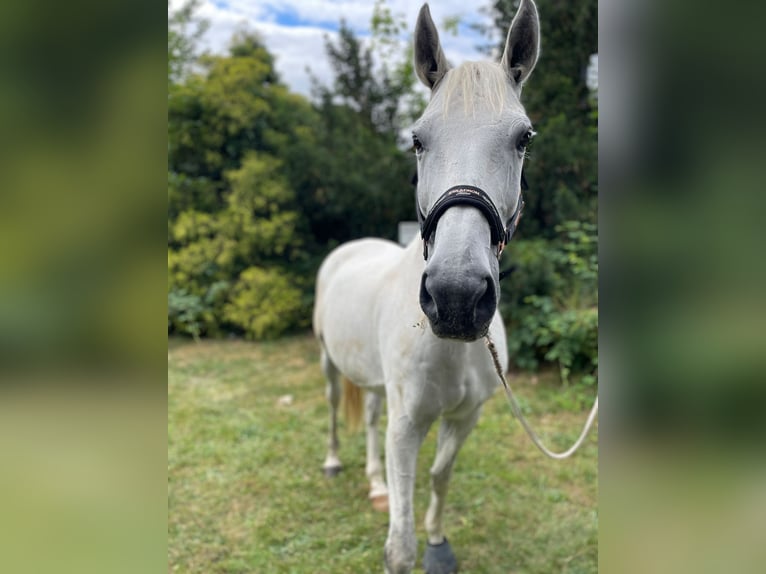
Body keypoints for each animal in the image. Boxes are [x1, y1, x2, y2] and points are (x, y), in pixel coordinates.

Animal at [312, 2, 540, 572]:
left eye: (523, 138)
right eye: (417, 139)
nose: (457, 298)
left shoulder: (464, 418)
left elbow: (439, 477)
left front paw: (438, 542)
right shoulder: (407, 426)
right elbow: (400, 543)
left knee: (370, 416)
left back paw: (374, 483)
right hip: (328, 362)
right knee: (334, 408)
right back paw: (334, 463)